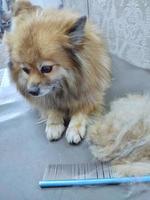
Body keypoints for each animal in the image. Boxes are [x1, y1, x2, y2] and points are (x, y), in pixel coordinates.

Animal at [4, 0, 110, 144]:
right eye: (25, 70)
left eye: (46, 69)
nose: (32, 91)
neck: (63, 87)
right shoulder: (46, 100)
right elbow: (52, 109)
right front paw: (54, 124)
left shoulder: (92, 95)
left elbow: (82, 109)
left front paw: (75, 127)